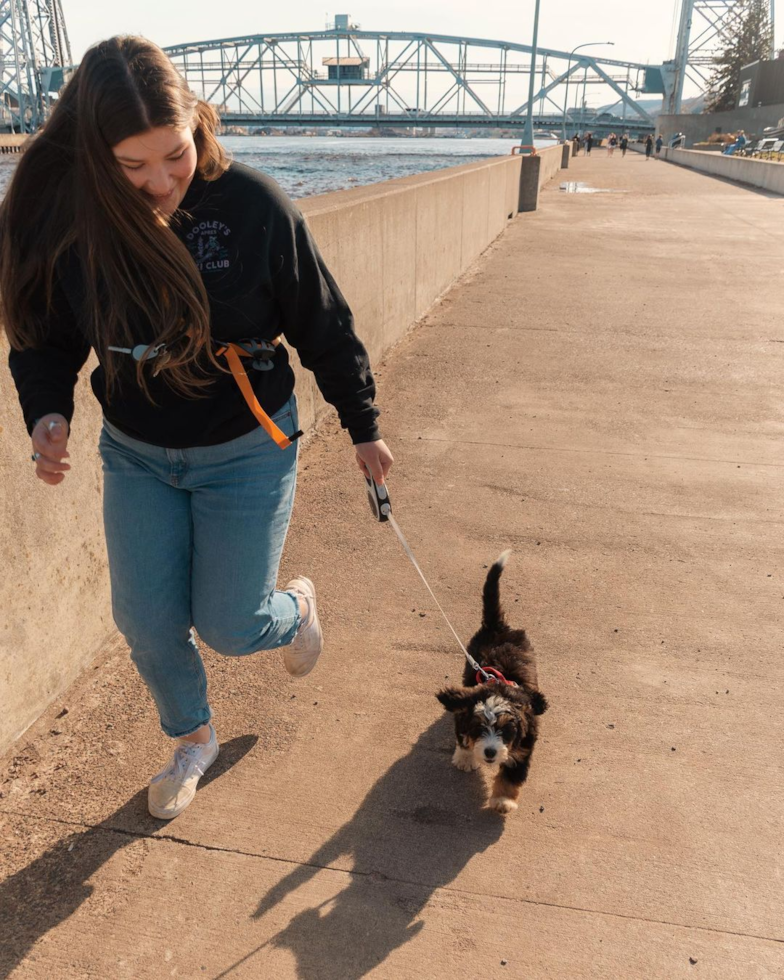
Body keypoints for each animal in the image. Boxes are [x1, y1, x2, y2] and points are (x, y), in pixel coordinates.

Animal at [438, 548, 548, 816]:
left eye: (505, 731)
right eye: (480, 729)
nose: (489, 752)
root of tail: (498, 626)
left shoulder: (524, 746)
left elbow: (511, 775)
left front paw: (503, 800)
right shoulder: (466, 708)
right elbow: (462, 735)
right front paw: (465, 759)